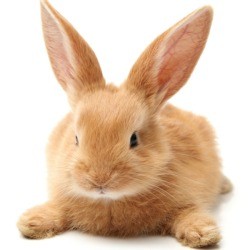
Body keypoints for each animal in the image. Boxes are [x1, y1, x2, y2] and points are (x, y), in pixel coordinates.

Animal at [17, 0, 232, 248]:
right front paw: (32, 222)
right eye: (76, 139)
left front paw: (203, 234)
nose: (100, 180)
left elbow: (188, 213)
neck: (111, 202)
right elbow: (57, 209)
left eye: (134, 139)